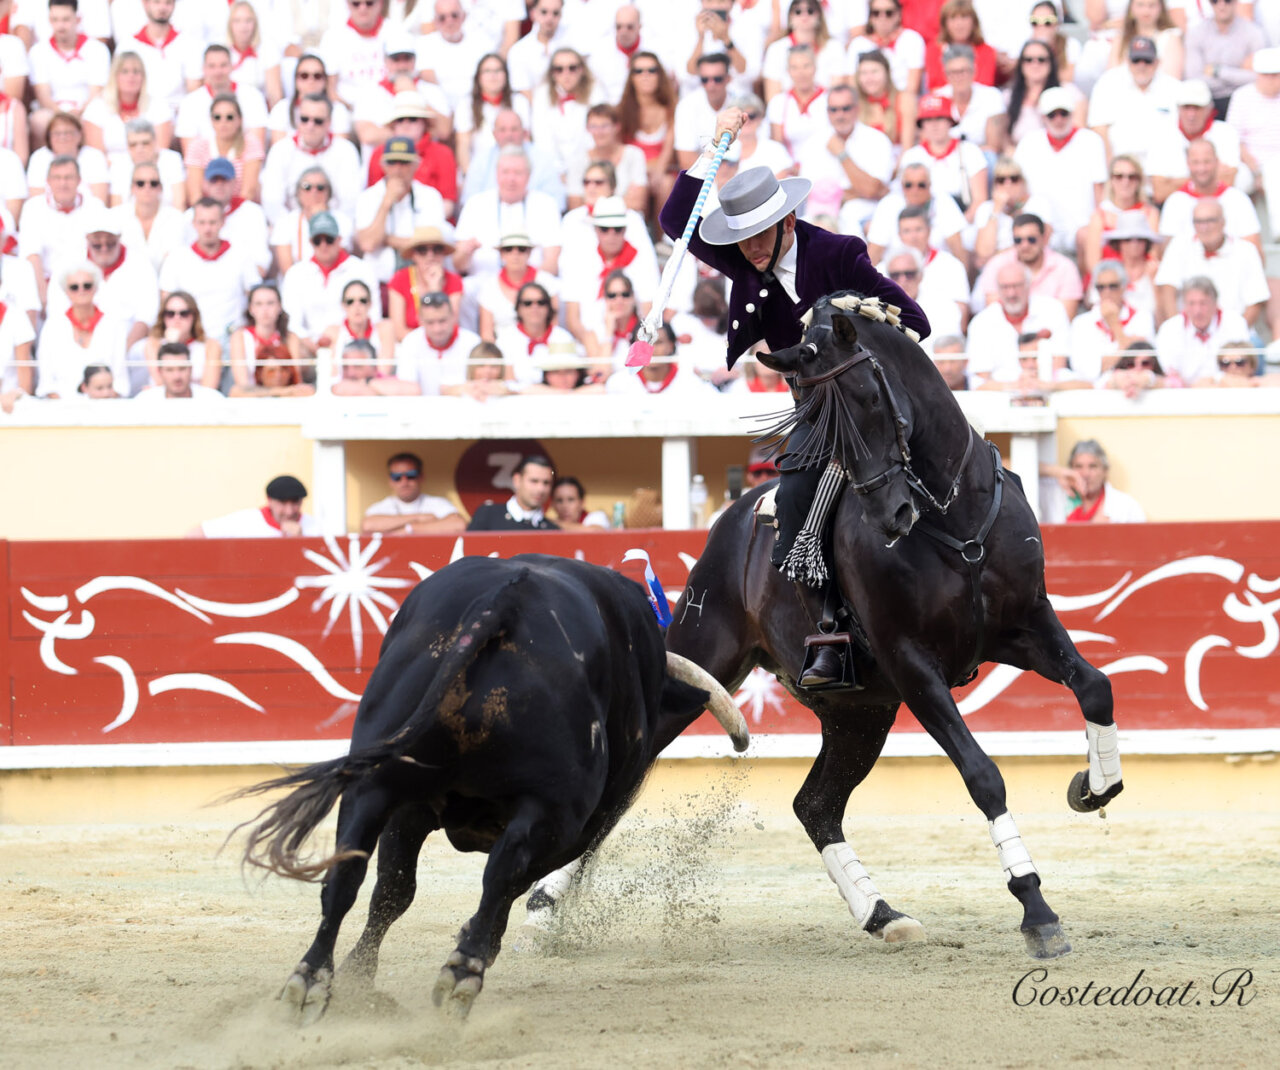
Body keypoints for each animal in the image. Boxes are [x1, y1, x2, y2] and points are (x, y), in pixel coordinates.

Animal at [235, 553, 749, 1021]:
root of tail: (504, 603)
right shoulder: (574, 827)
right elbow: (505, 886)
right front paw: (473, 944)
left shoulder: (410, 808)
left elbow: (394, 890)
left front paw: (360, 980)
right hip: (553, 811)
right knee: (499, 873)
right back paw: (462, 975)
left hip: (375, 784)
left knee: (348, 876)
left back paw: (312, 982)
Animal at [656, 292, 1124, 959]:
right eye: (804, 405)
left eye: (869, 398)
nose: (891, 514)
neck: (950, 513)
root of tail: (728, 523)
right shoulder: (912, 665)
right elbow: (983, 775)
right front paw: (1036, 908)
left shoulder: (1025, 623)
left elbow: (1094, 686)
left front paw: (1093, 785)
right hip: (702, 662)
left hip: (860, 715)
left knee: (816, 805)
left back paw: (881, 913)